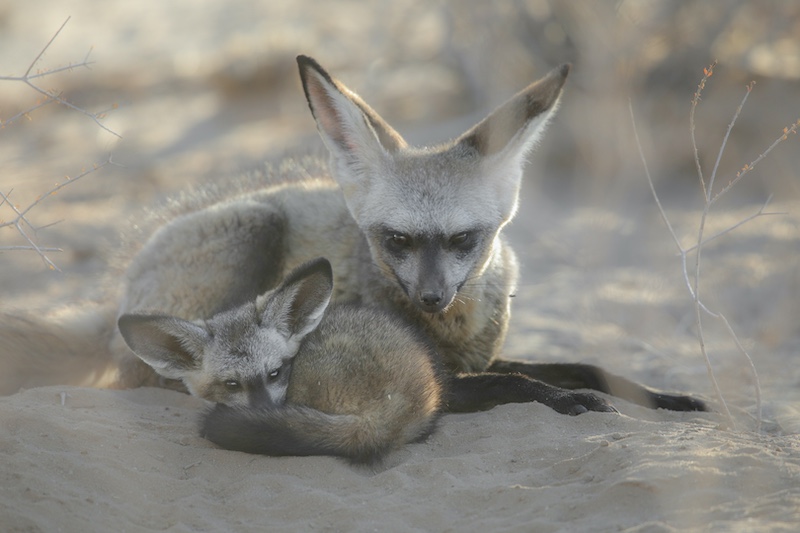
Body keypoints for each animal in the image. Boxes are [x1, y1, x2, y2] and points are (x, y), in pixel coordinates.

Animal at [0, 55, 706, 415]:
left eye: (464, 240)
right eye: (396, 240)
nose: (431, 298)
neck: (452, 332)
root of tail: (117, 288)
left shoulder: (477, 356)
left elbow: (589, 364)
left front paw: (667, 396)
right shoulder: (412, 376)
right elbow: (523, 385)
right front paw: (569, 400)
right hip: (254, 226)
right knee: (149, 372)